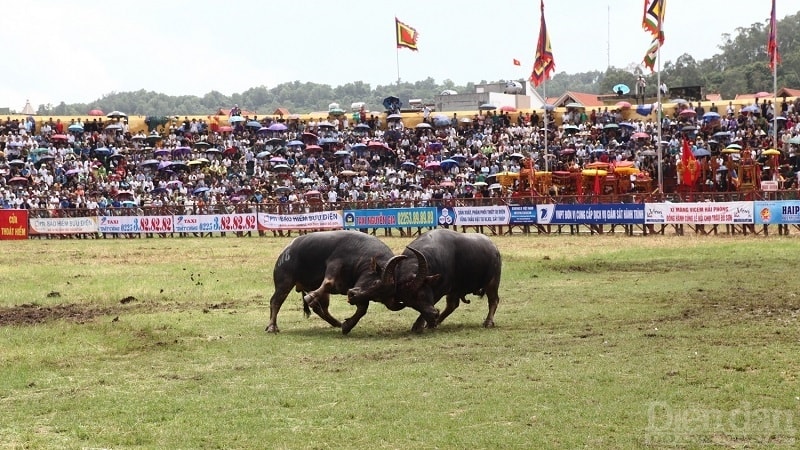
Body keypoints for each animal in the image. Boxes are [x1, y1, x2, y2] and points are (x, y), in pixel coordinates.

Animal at [266, 232, 406, 334]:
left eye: (377, 297)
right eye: (376, 282)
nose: (352, 295)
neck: (361, 257)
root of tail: (286, 249)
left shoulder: (358, 290)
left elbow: (362, 309)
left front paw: (347, 326)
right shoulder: (335, 263)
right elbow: (328, 282)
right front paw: (310, 296)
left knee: (320, 308)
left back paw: (336, 323)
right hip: (284, 283)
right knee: (275, 301)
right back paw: (272, 327)